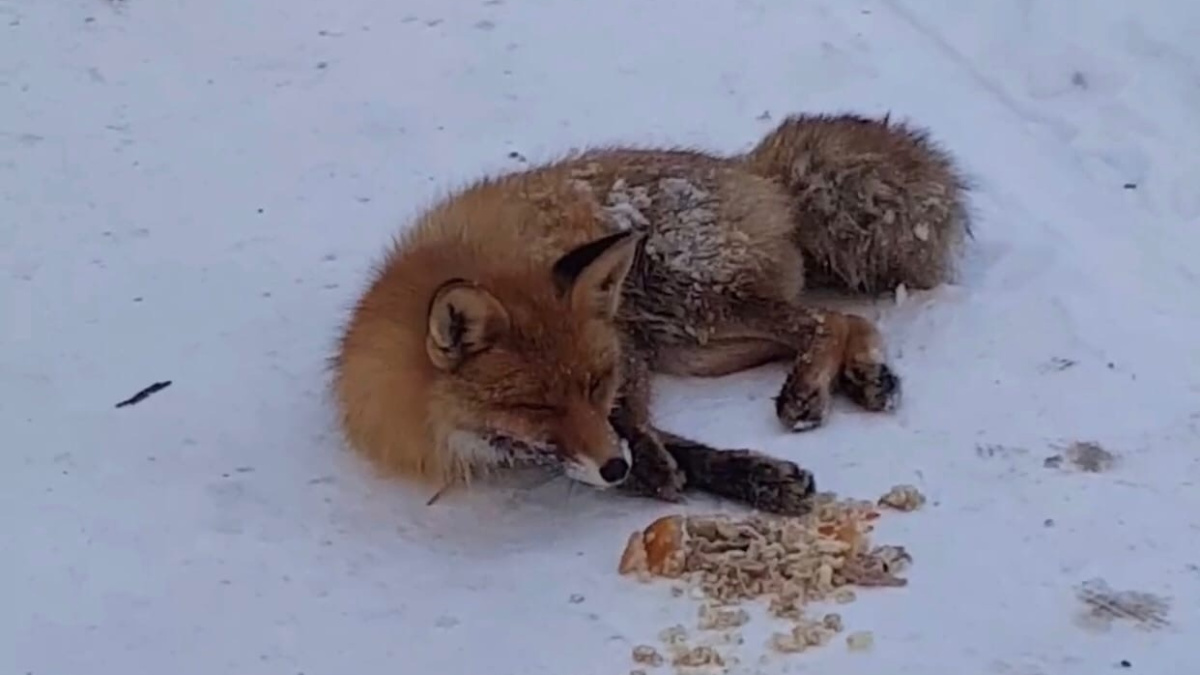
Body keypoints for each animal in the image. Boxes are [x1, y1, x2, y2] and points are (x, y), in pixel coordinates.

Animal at [333, 112, 969, 511]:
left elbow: (634, 423)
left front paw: (660, 466)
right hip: (697, 347)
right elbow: (667, 444)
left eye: (593, 384)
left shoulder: (625, 347)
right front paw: (747, 479)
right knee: (844, 321)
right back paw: (863, 374)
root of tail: (754, 170)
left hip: (683, 304)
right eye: (536, 406)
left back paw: (814, 389)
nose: (614, 471)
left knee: (827, 320)